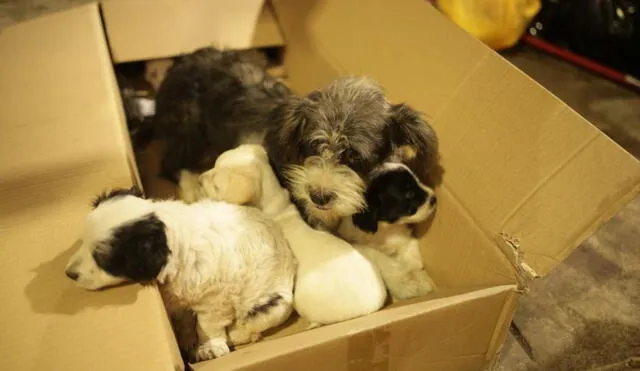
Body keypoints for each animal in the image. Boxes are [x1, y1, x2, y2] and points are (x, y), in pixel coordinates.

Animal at [64, 187, 296, 362]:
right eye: (82, 241)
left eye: (102, 260)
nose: (69, 274)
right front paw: (186, 339)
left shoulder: (213, 302)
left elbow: (207, 326)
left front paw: (209, 347)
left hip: (271, 308)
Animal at [338, 163, 438, 302]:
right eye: (409, 194)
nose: (435, 198)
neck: (385, 230)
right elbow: (384, 261)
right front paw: (408, 285)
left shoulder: (403, 238)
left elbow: (409, 253)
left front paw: (416, 275)